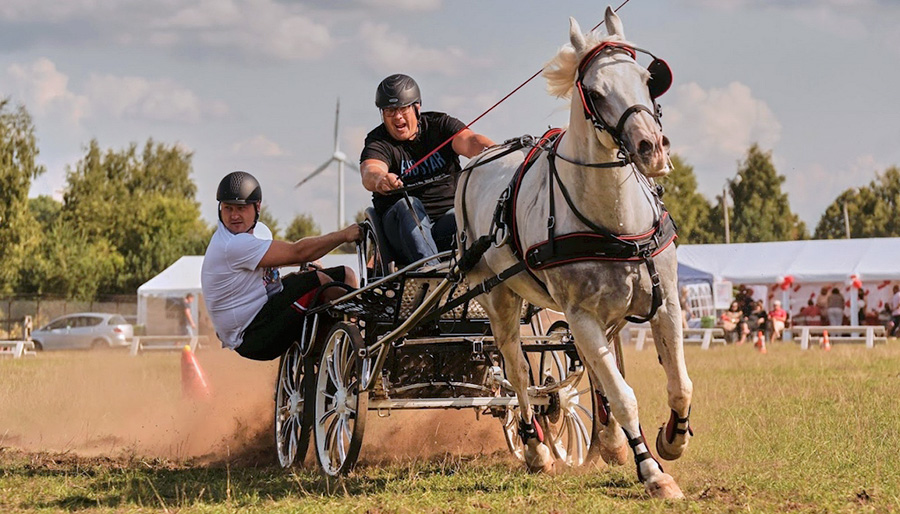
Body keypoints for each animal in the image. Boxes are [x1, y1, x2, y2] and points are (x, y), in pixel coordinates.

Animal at [458, 7, 696, 496]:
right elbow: (623, 396)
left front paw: (670, 439)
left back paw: (609, 441)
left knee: (588, 364)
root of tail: (477, 162)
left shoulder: (665, 304)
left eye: (648, 79)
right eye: (596, 92)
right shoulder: (580, 314)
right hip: (499, 298)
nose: (651, 148)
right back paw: (536, 448)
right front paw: (652, 471)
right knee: (517, 370)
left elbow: (680, 384)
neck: (617, 223)